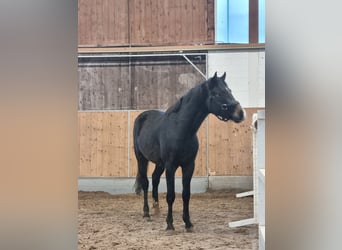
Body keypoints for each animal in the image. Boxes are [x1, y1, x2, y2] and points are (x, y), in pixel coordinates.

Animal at [132, 72, 244, 230]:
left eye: (229, 90)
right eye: (217, 93)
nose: (240, 113)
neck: (180, 128)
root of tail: (142, 116)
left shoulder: (189, 165)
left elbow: (186, 194)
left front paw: (188, 223)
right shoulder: (171, 166)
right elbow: (171, 195)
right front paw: (170, 224)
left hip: (160, 163)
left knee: (154, 178)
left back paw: (156, 209)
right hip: (141, 158)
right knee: (145, 182)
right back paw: (146, 213)